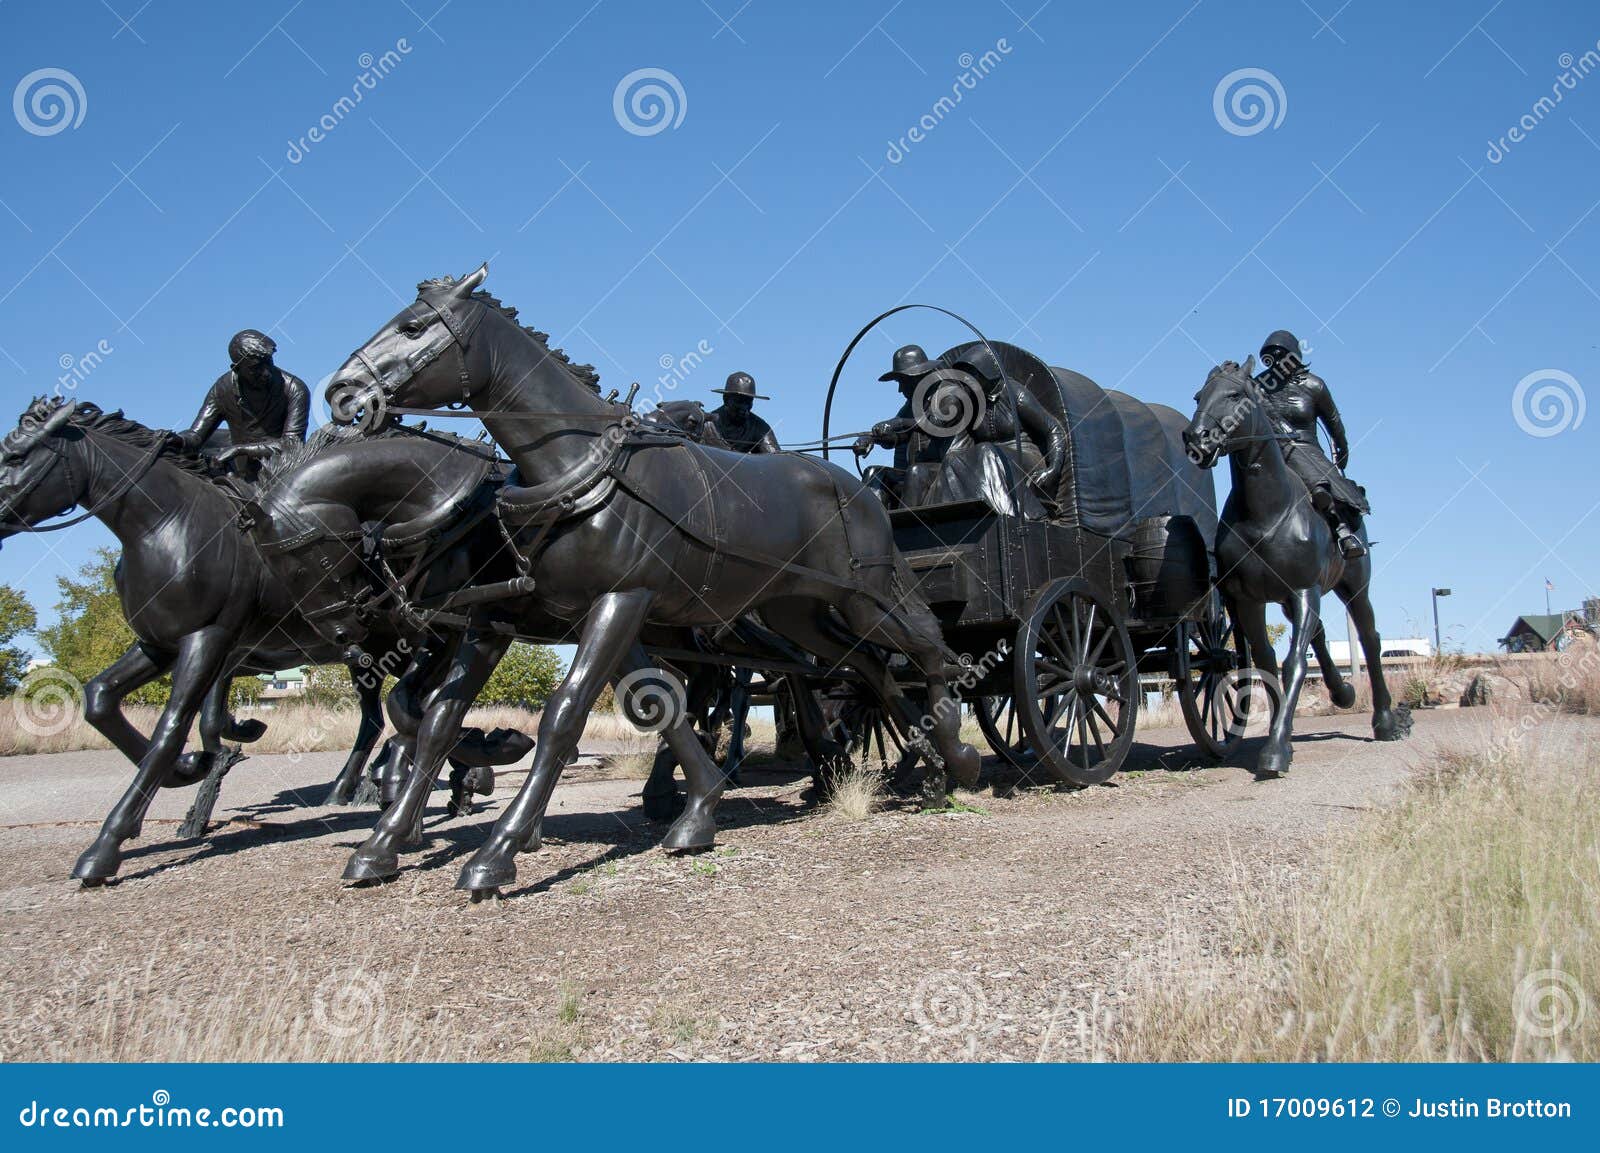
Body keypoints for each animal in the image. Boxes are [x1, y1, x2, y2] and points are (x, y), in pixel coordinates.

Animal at [323, 265, 972, 895]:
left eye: (412, 327)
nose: (343, 391)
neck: (580, 469)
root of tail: (860, 489)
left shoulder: (619, 600)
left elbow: (565, 715)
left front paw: (497, 853)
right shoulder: (499, 617)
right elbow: (443, 720)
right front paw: (381, 845)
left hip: (864, 598)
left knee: (923, 654)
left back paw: (956, 752)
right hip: (799, 612)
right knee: (869, 668)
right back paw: (930, 765)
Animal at [1184, 358, 1408, 773]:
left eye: (1235, 395)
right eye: (1198, 396)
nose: (1196, 439)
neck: (1264, 514)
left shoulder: (1304, 589)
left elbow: (1293, 664)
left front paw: (1275, 748)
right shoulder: (1249, 601)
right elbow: (1268, 664)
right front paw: (1280, 737)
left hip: (1353, 588)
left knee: (1369, 639)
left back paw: (1384, 720)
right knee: (1319, 635)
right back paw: (1342, 691)